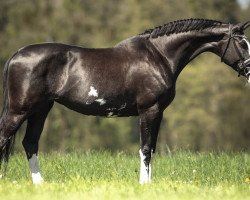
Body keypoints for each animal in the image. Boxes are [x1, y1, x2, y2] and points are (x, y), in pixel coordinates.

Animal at [0, 19, 250, 184]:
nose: (249, 71)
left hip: (41, 109)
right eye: (242, 43)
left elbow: (152, 148)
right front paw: (144, 185)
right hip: (19, 109)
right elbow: (145, 148)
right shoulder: (149, 110)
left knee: (30, 143)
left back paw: (39, 184)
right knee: (5, 138)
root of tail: (16, 54)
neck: (158, 55)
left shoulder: (157, 113)